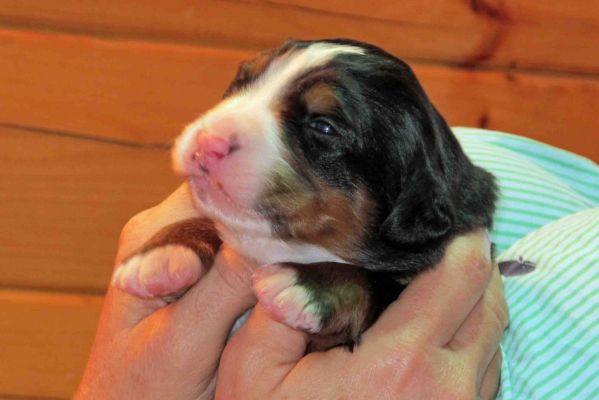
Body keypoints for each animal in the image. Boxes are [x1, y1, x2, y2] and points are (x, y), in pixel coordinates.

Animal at [112, 37, 496, 350]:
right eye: (241, 84)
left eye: (323, 126)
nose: (209, 141)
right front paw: (163, 253)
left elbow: (373, 283)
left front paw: (305, 287)